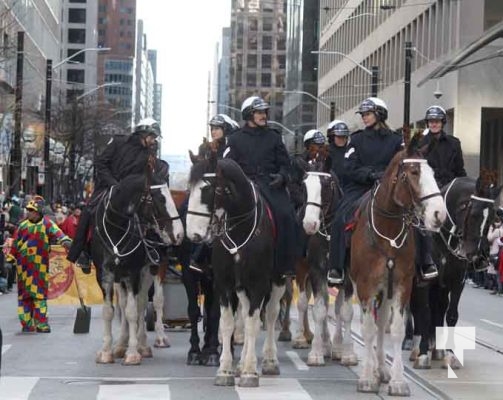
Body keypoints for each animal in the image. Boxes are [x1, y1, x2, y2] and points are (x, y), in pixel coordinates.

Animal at [186, 158, 288, 386]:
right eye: (189, 188)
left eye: (208, 190)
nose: (193, 234)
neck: (241, 229)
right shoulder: (224, 284)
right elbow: (227, 323)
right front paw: (225, 370)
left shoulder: (258, 284)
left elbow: (253, 323)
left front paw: (250, 372)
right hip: (241, 287)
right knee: (245, 312)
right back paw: (240, 364)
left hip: (277, 280)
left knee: (270, 314)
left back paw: (269, 361)